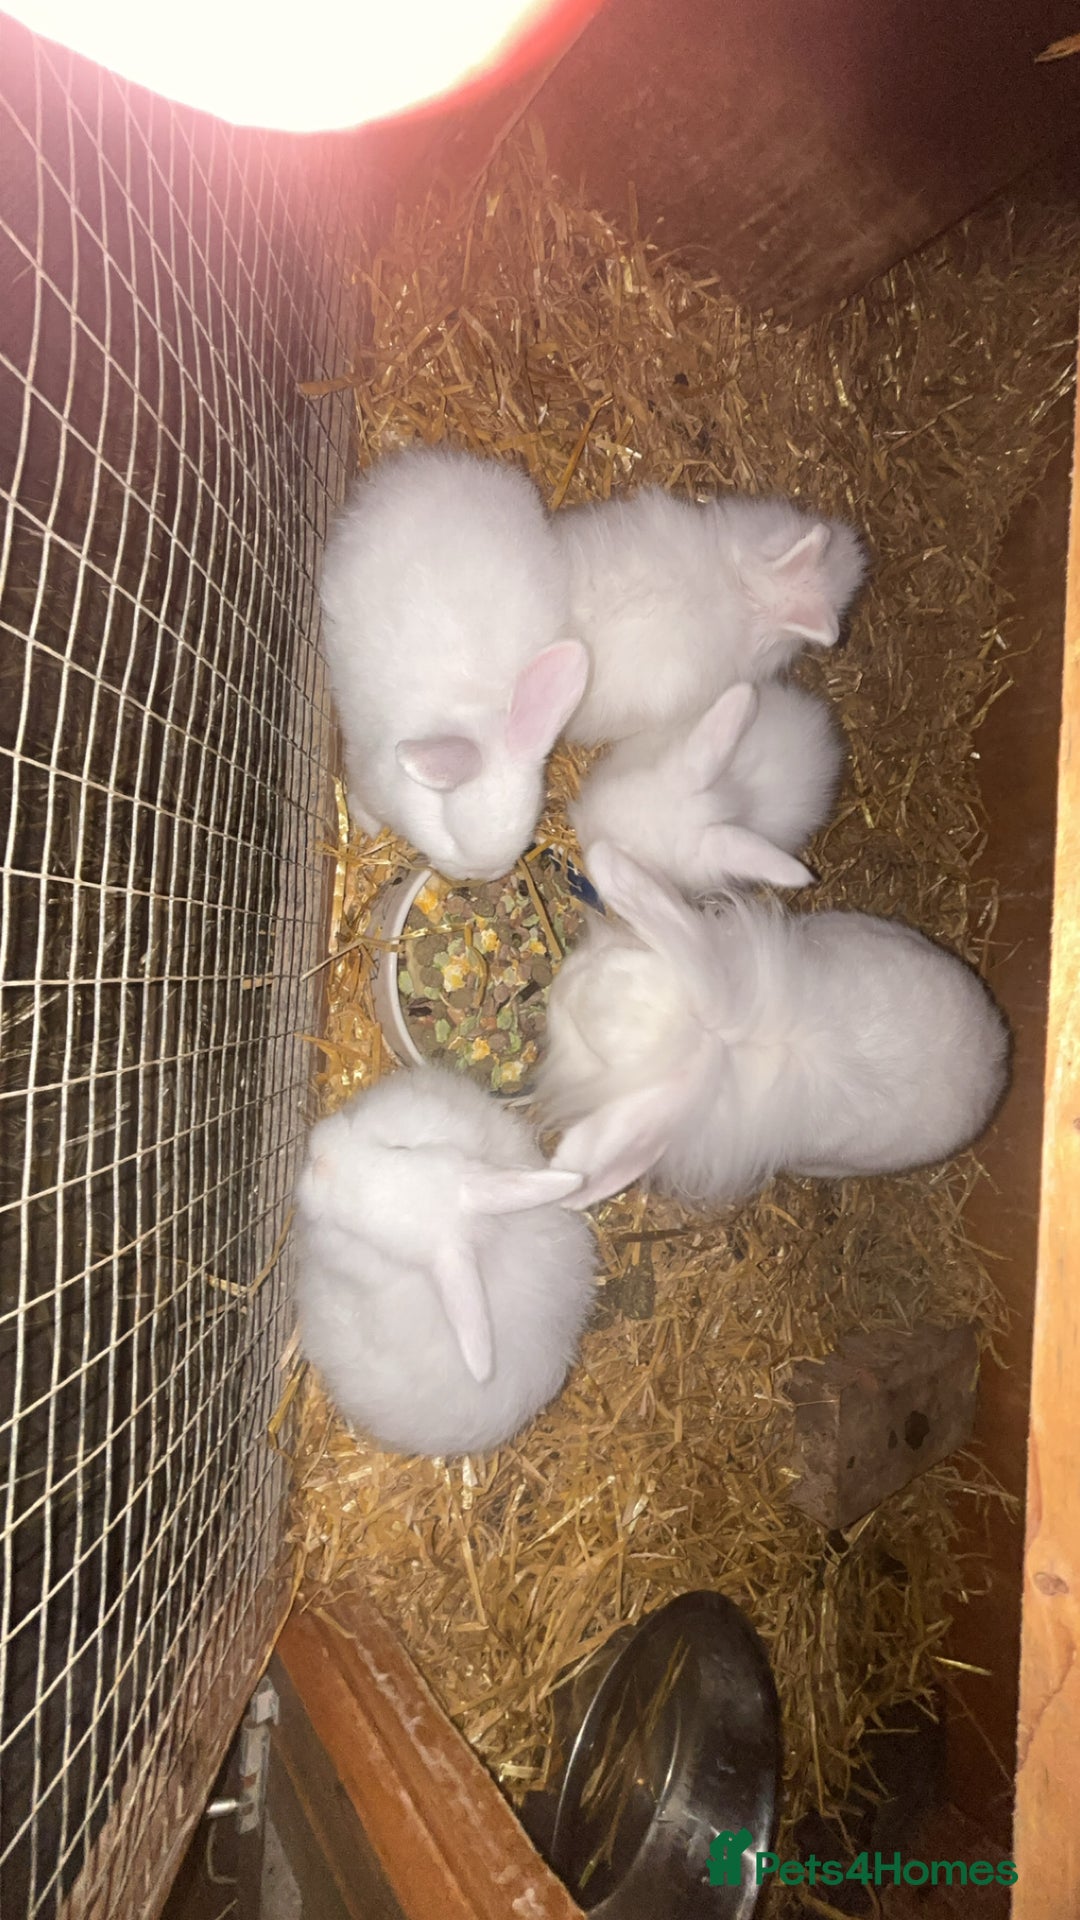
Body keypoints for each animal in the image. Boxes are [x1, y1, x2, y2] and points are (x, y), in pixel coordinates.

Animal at [319, 446, 588, 882]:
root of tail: (439, 465)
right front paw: (366, 825)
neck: (471, 707)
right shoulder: (363, 766)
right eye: (450, 834)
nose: (483, 875)